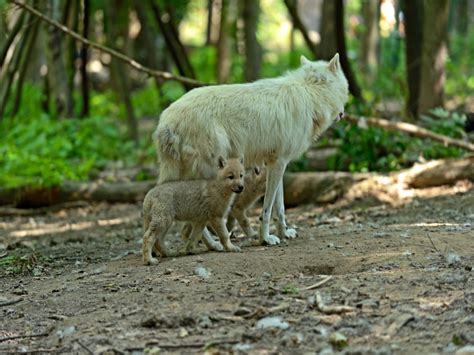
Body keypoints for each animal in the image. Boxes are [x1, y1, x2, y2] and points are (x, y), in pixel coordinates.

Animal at [156, 54, 348, 246]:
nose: (343, 114)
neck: (310, 94)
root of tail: (166, 122)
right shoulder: (279, 162)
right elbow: (267, 209)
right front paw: (266, 239)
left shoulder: (276, 163)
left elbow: (280, 208)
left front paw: (284, 234)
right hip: (211, 171)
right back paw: (214, 245)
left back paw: (209, 245)